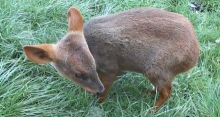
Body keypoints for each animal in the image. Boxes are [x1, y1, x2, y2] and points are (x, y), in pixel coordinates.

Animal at [23, 7, 200, 109]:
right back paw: (146, 94)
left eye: (93, 63)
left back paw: (152, 109)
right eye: (78, 74)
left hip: (158, 69)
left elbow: (106, 88)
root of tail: (195, 53)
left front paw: (98, 102)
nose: (98, 89)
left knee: (167, 91)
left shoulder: (111, 68)